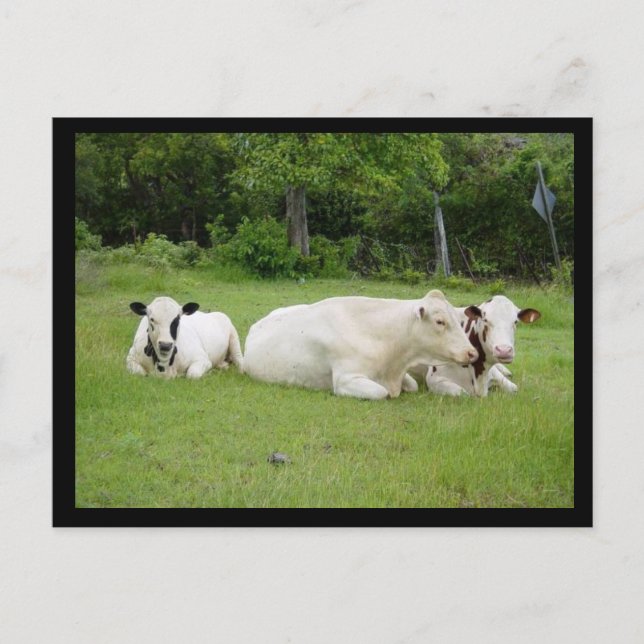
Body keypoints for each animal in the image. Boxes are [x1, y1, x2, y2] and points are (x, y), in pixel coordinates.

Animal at [242, 290, 481, 400]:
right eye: (440, 321)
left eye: (458, 319)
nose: (472, 352)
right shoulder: (345, 379)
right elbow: (381, 392)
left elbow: (412, 385)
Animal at [409, 295, 540, 397]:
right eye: (485, 320)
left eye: (515, 322)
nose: (504, 350)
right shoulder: (434, 379)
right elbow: (464, 394)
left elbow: (514, 388)